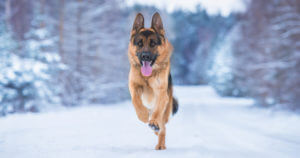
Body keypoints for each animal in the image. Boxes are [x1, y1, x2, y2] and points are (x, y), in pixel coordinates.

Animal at [127, 12, 178, 149]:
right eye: (139, 43)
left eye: (153, 43)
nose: (145, 56)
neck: (147, 77)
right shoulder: (134, 86)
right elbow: (136, 101)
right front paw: (143, 115)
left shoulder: (161, 94)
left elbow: (157, 112)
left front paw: (154, 122)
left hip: (166, 110)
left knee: (163, 127)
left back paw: (160, 142)